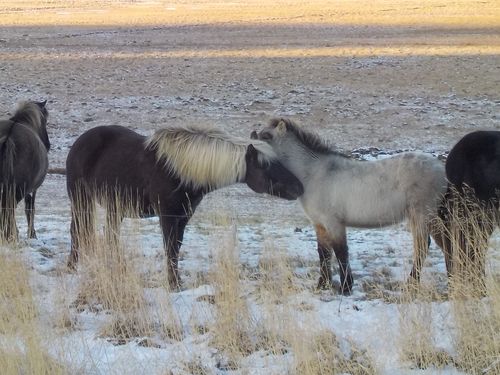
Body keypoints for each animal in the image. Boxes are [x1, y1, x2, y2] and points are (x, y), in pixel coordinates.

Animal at [0, 101, 50, 242]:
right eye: (45, 120)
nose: (48, 144)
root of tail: (9, 135)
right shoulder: (32, 189)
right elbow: (30, 208)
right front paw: (32, 234)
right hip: (18, 189)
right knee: (9, 208)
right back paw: (10, 234)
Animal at [64, 125, 302, 290]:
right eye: (266, 166)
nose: (299, 187)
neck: (179, 171)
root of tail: (80, 141)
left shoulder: (184, 216)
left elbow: (176, 248)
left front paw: (177, 282)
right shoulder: (167, 215)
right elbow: (170, 248)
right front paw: (173, 285)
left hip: (114, 207)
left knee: (111, 238)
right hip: (80, 200)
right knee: (77, 232)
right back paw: (71, 268)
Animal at [252, 119, 448, 296]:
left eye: (267, 136)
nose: (251, 141)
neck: (314, 174)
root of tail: (441, 168)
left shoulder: (335, 224)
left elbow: (341, 253)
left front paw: (346, 288)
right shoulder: (320, 225)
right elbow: (324, 254)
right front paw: (322, 285)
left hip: (422, 216)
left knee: (424, 247)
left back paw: (413, 284)